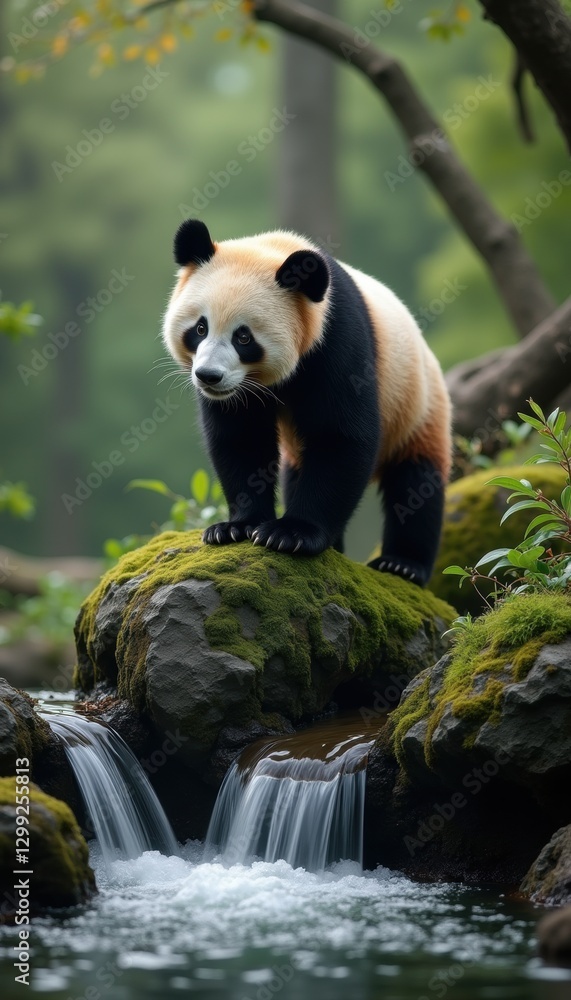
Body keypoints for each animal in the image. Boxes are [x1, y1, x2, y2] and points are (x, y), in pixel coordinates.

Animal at [162, 219, 452, 586]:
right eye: (200, 328)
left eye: (243, 337)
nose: (209, 377)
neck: (275, 250)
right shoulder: (239, 392)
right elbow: (241, 439)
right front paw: (235, 528)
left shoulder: (337, 338)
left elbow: (341, 437)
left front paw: (291, 534)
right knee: (297, 470)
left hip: (417, 403)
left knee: (416, 483)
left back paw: (402, 564)